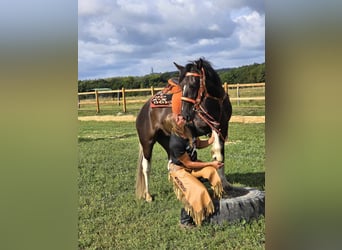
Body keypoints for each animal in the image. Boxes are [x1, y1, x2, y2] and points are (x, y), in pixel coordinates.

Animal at [136, 58, 232, 201]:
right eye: (182, 86)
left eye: (193, 84)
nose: (185, 114)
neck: (216, 102)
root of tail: (144, 109)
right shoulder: (212, 127)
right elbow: (217, 153)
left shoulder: (223, 128)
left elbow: (220, 155)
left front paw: (225, 183)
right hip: (147, 141)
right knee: (146, 166)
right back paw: (148, 195)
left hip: (166, 140)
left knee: (170, 162)